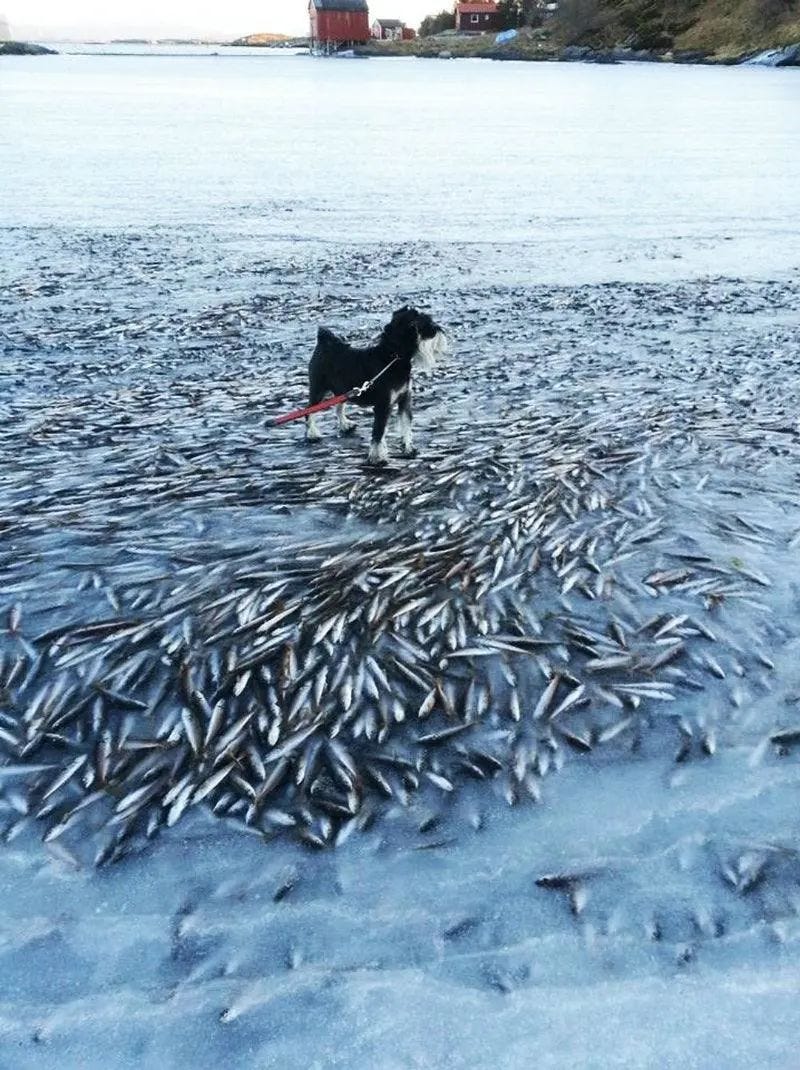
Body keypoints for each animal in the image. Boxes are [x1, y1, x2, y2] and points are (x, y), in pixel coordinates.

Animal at [303, 306, 447, 464]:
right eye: (417, 324)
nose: (437, 329)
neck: (392, 358)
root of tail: (324, 342)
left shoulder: (404, 400)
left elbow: (405, 425)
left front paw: (409, 448)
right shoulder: (383, 406)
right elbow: (378, 432)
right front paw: (377, 456)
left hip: (343, 390)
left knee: (339, 407)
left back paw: (345, 425)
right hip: (318, 389)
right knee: (309, 410)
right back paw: (312, 434)